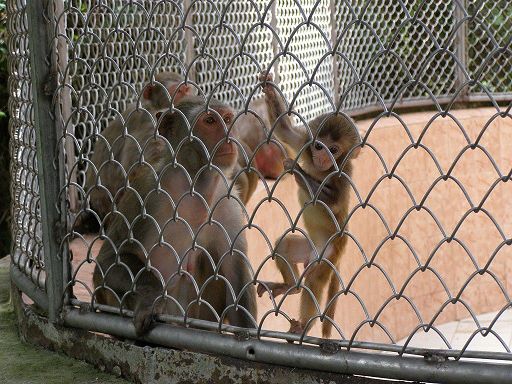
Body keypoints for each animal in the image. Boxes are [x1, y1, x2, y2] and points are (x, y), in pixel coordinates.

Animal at [92, 96, 256, 336]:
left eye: (227, 119)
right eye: (209, 121)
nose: (230, 138)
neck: (193, 189)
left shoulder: (228, 204)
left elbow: (235, 271)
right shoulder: (146, 192)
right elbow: (109, 260)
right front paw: (151, 299)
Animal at [255, 70, 360, 338]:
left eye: (334, 149)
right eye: (319, 146)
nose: (322, 157)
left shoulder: (345, 174)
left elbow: (335, 203)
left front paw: (298, 171)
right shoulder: (305, 142)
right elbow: (285, 131)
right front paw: (269, 87)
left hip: (327, 256)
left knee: (314, 281)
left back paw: (305, 324)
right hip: (308, 248)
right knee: (283, 246)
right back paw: (290, 286)